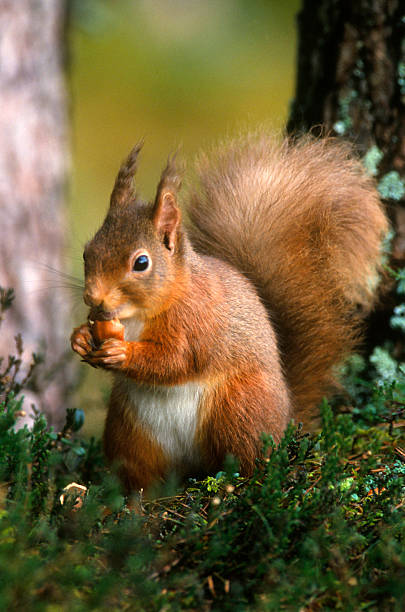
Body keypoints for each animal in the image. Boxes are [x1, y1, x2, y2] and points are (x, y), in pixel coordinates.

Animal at [70, 133, 388, 492]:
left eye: (141, 262)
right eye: (88, 252)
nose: (93, 298)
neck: (140, 314)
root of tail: (286, 418)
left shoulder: (198, 321)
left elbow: (177, 360)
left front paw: (121, 352)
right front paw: (80, 338)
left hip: (237, 410)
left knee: (246, 459)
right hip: (131, 433)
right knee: (140, 476)